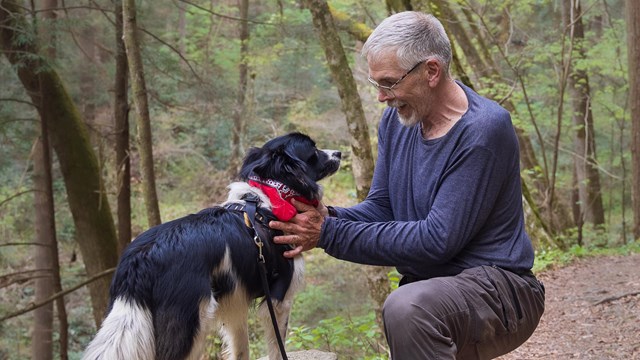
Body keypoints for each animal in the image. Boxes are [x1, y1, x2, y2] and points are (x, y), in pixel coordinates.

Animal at [83, 133, 342, 360]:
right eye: (313, 151)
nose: (339, 152)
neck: (272, 196)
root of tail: (142, 259)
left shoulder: (236, 301)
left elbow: (241, 349)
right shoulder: (279, 299)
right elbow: (278, 349)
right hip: (192, 323)